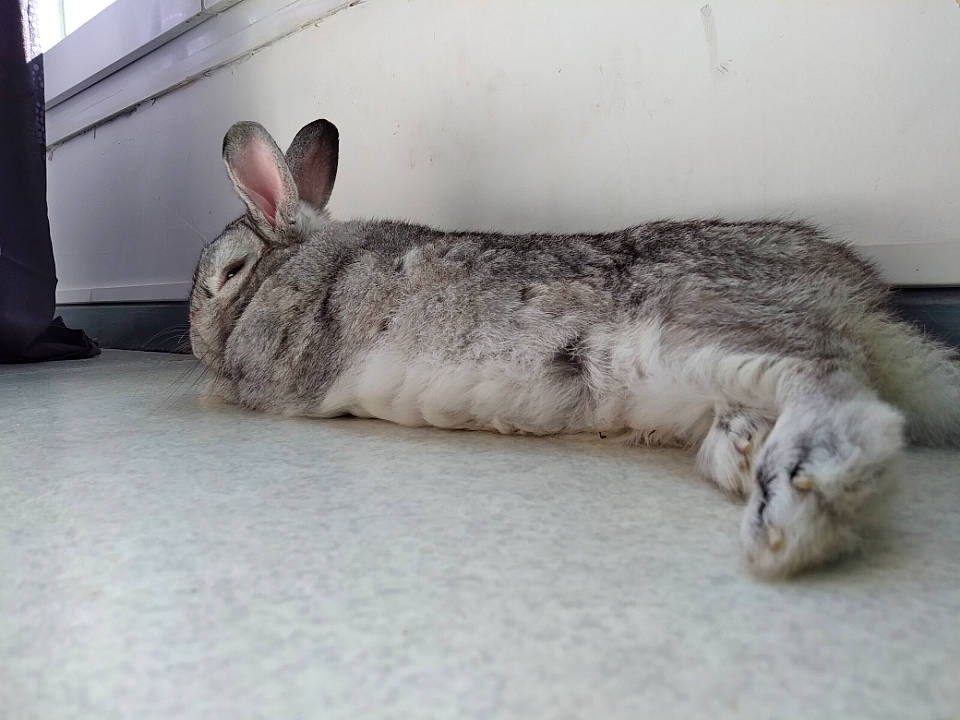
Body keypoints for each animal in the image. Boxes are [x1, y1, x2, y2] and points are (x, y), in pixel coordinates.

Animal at [189, 119, 960, 578]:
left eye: (224, 274)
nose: (193, 340)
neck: (293, 261)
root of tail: (857, 297)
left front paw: (209, 385)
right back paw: (741, 456)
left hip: (699, 332)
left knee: (836, 387)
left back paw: (790, 510)